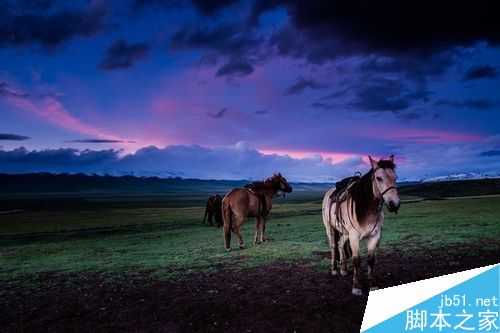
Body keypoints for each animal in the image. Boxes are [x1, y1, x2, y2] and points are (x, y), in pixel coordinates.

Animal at [322, 154, 400, 294]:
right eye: (379, 178)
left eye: (395, 178)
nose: (394, 204)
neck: (367, 209)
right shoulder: (354, 236)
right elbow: (356, 260)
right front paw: (356, 287)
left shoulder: (375, 235)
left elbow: (371, 260)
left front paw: (372, 285)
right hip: (330, 228)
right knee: (333, 246)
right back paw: (334, 270)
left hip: (345, 232)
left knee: (340, 244)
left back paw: (343, 269)